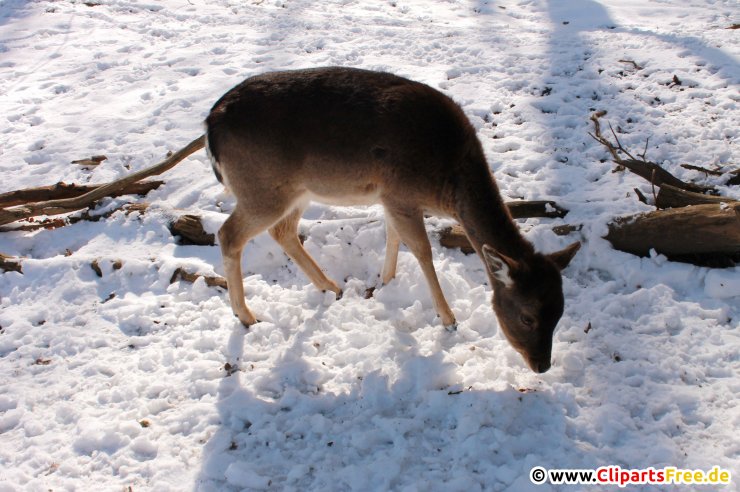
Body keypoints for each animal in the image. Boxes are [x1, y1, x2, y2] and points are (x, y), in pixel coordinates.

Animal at [205, 67, 580, 373]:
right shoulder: (400, 193)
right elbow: (422, 249)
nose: (542, 366)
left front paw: (386, 281)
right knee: (228, 233)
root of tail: (210, 123)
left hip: (296, 191)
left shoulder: (391, 198)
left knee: (283, 230)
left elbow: (393, 236)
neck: (448, 180)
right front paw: (449, 319)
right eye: (527, 316)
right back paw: (247, 315)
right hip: (262, 188)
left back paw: (331, 286)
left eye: (560, 312)